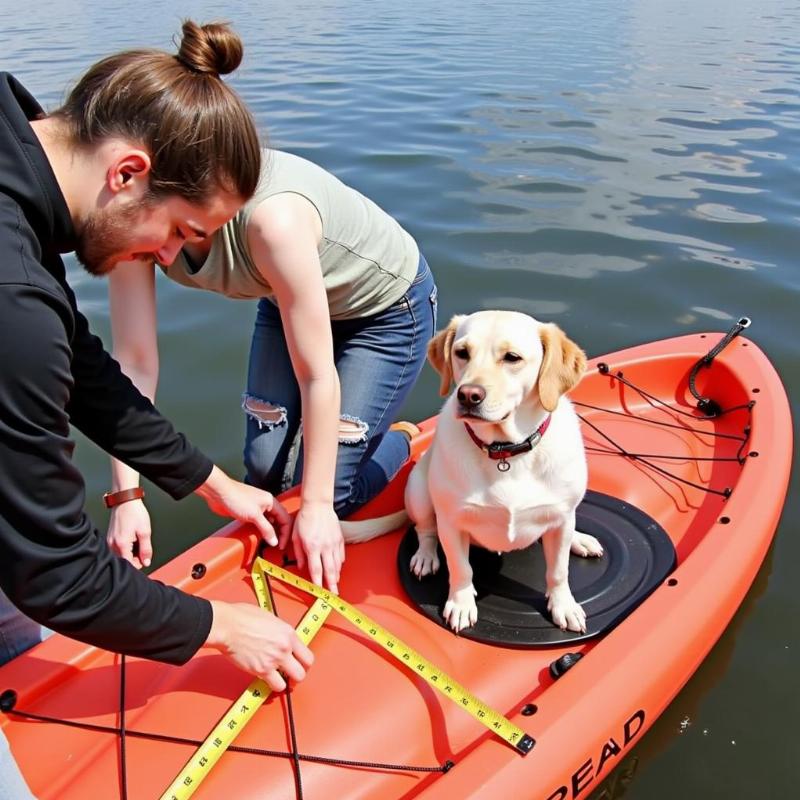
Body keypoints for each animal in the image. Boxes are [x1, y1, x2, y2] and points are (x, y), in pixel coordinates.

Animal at [406, 310, 600, 632]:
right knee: (425, 530)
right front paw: (461, 603)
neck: (505, 450)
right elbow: (460, 568)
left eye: (512, 357)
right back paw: (425, 556)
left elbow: (558, 572)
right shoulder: (451, 522)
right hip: (418, 492)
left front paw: (564, 605)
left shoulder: (560, 517)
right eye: (462, 353)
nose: (468, 395)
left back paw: (580, 539)